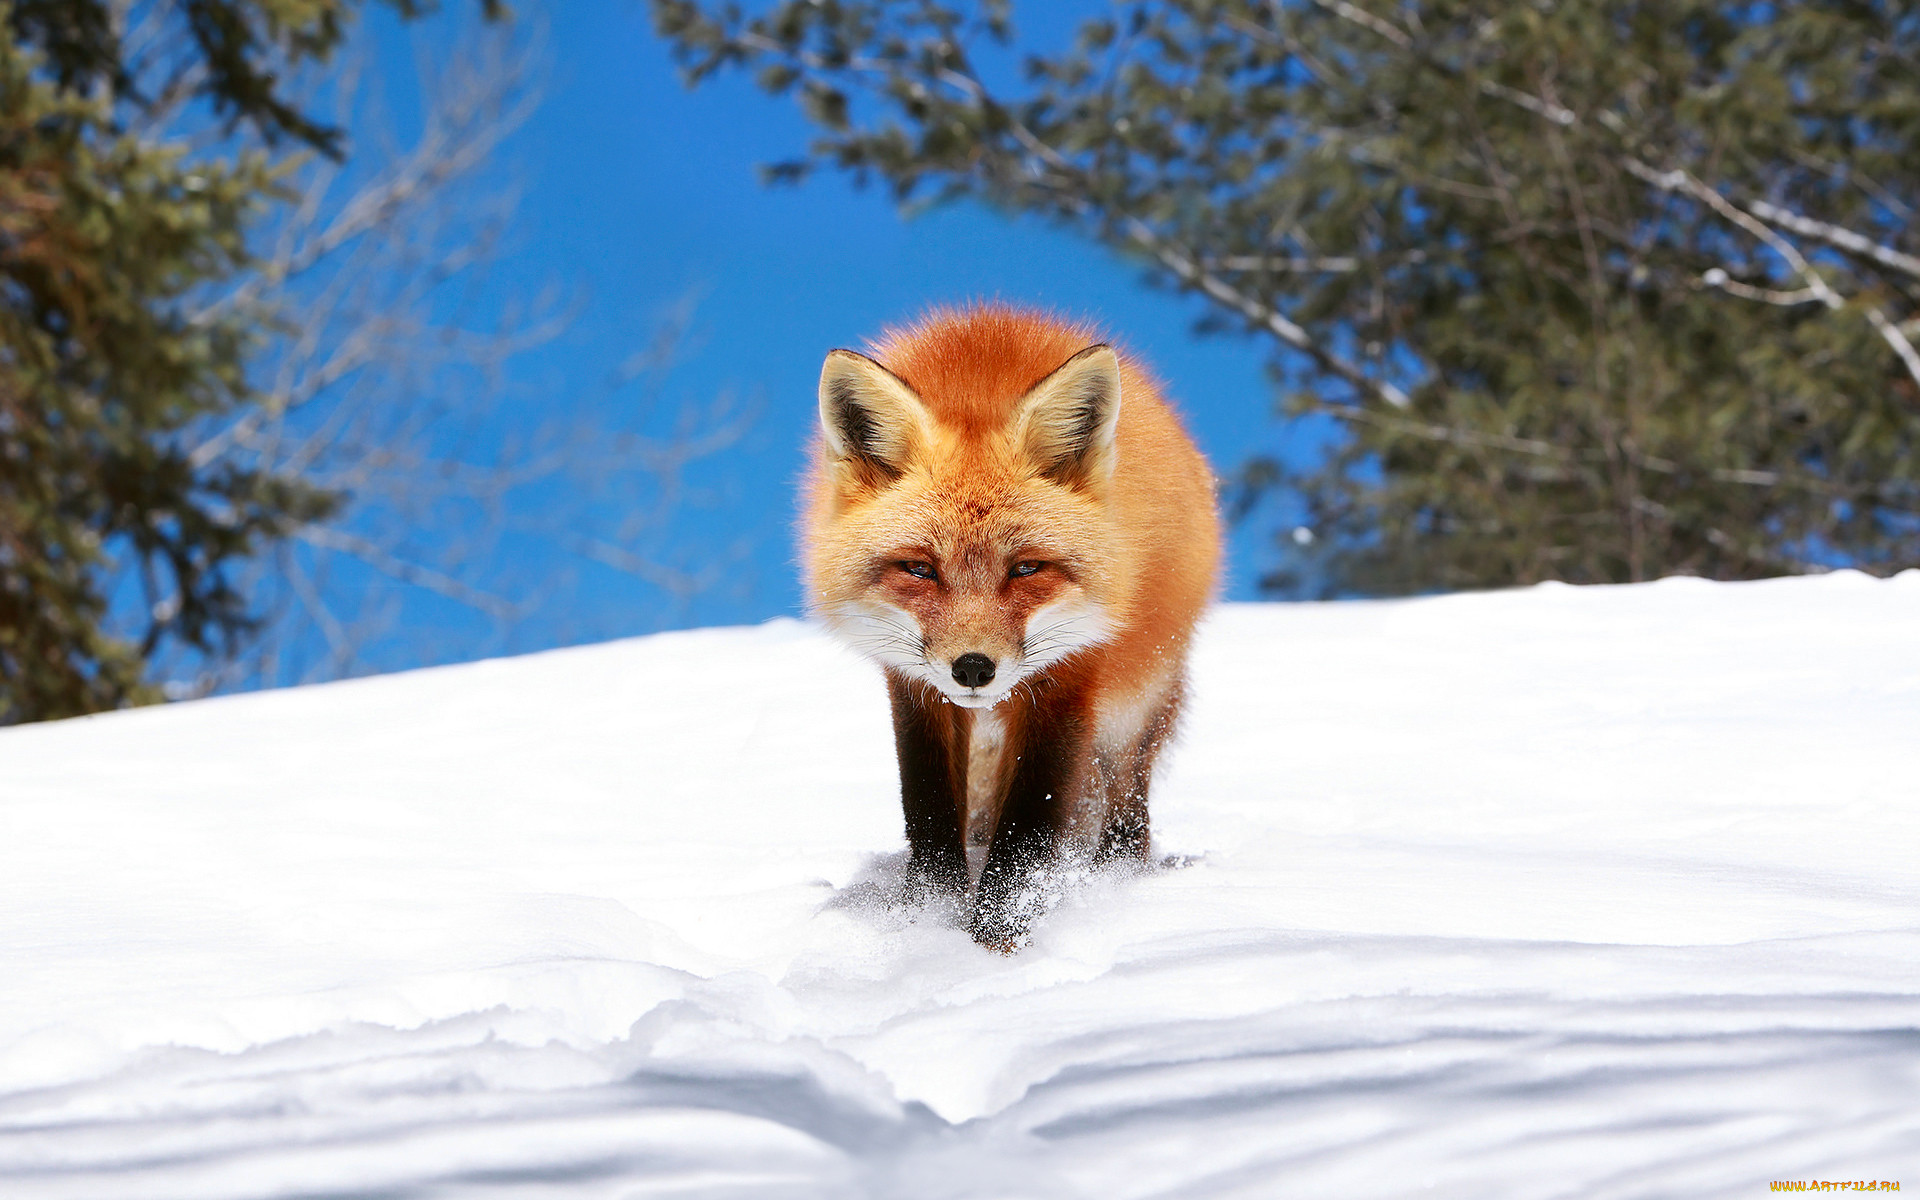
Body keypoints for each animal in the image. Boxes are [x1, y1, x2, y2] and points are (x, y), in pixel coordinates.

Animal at [802, 303, 1221, 948]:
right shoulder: (914, 685)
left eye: (1025, 568)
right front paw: (931, 921)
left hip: (1134, 709)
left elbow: (1030, 821)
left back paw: (1118, 879)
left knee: (1126, 807)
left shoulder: (1069, 672)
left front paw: (998, 937)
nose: (974, 668)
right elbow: (928, 807)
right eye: (920, 569)